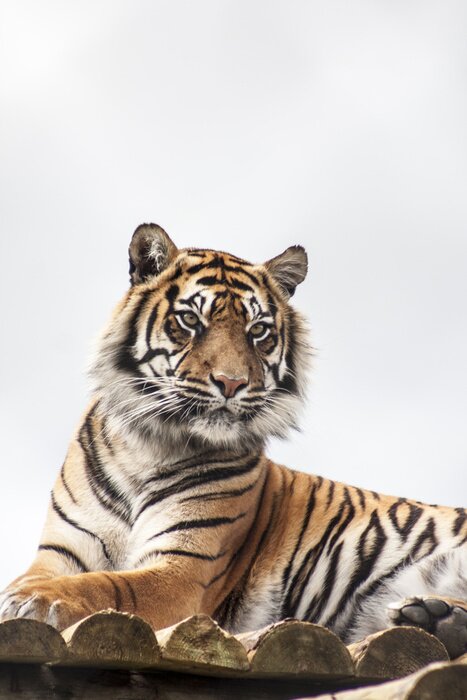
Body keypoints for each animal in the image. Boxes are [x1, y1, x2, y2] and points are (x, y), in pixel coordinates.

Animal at [1, 223, 466, 658]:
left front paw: (34, 599)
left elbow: (107, 585)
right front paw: (24, 594)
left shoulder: (183, 569)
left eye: (257, 330)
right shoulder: (60, 551)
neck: (145, 449)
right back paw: (433, 617)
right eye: (191, 320)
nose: (231, 382)